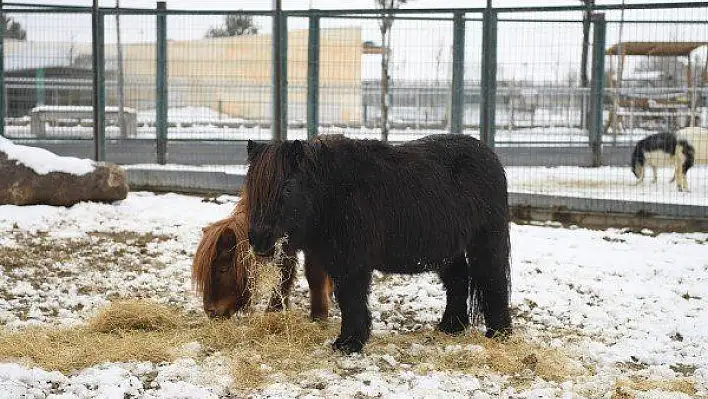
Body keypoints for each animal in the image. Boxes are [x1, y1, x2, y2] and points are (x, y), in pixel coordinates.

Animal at [192, 191, 334, 322]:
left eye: (223, 268)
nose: (210, 311)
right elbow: (284, 270)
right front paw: (274, 309)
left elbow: (313, 274)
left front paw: (319, 315)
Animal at [243, 134, 508, 354]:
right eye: (252, 186)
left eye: (287, 189)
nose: (259, 239)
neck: (331, 192)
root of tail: (489, 154)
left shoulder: (352, 264)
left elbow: (351, 300)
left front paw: (349, 343)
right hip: (448, 250)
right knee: (458, 280)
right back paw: (451, 327)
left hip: (486, 242)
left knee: (493, 280)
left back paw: (499, 333)